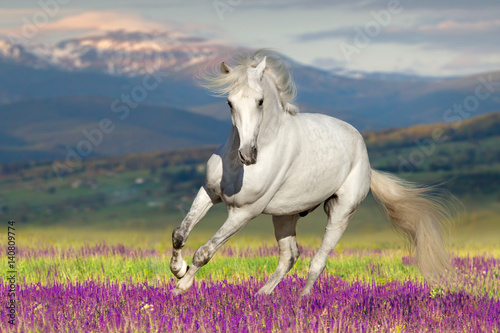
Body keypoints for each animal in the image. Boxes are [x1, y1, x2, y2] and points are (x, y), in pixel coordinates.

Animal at [170, 50, 452, 296]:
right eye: (229, 102)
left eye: (260, 101)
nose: (248, 154)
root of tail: (365, 157)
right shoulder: (209, 193)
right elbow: (180, 234)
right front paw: (178, 269)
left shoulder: (244, 212)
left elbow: (205, 251)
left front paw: (180, 287)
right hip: (285, 215)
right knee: (289, 256)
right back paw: (261, 295)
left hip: (340, 213)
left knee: (318, 260)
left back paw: (302, 300)